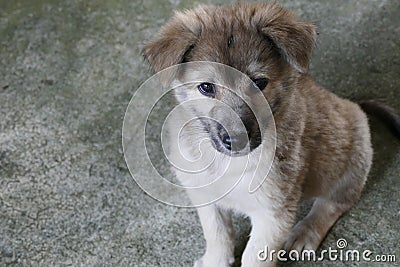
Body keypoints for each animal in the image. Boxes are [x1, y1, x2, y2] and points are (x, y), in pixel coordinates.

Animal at [145, 2, 400, 267]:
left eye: (259, 83)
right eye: (206, 87)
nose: (237, 140)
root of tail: (354, 105)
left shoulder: (274, 214)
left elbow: (254, 257)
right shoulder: (206, 198)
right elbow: (217, 235)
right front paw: (215, 260)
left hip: (348, 167)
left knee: (334, 203)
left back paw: (305, 232)